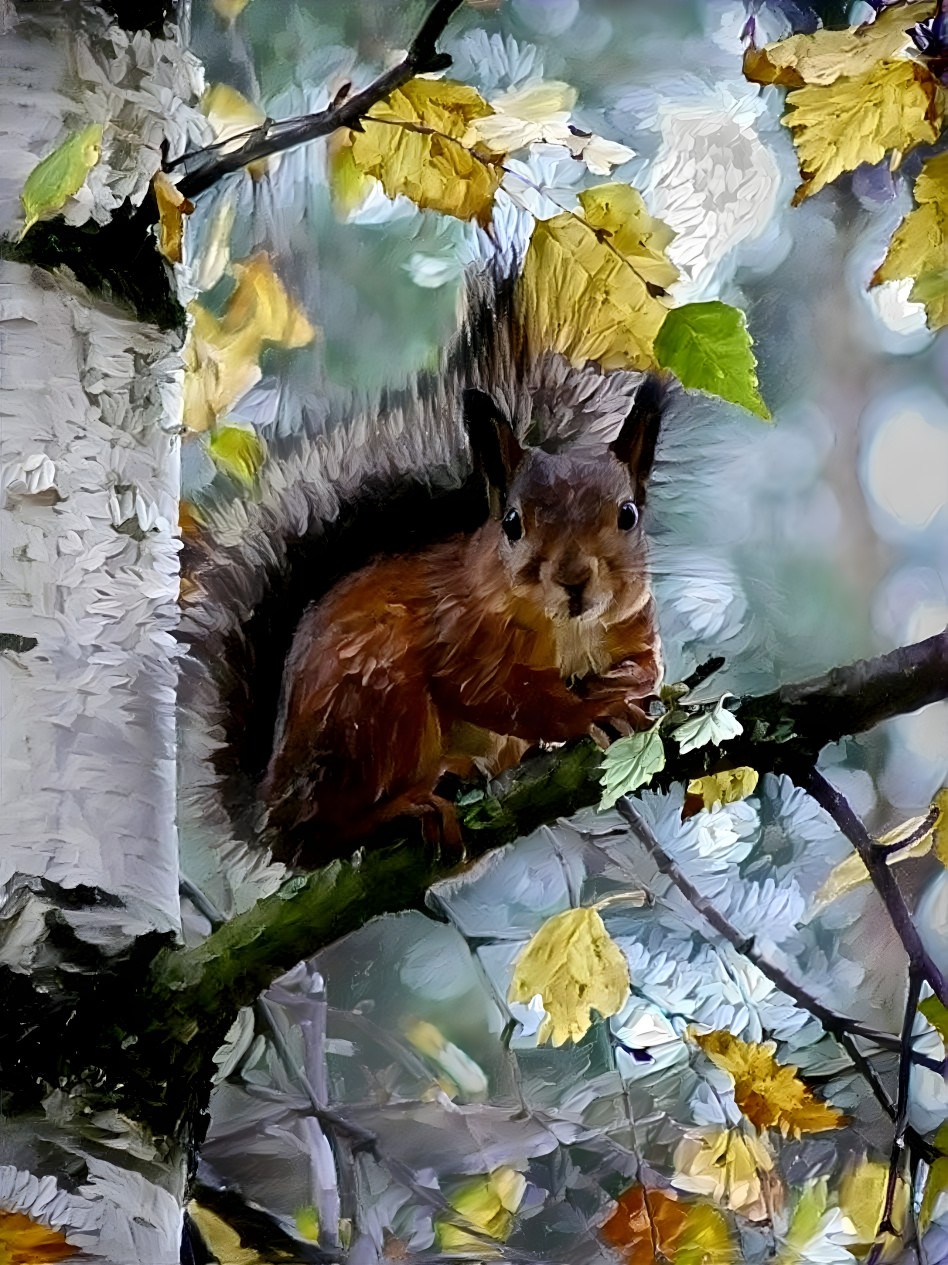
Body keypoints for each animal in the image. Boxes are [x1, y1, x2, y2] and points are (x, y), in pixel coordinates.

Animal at [179, 266, 663, 870]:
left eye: (628, 515)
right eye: (512, 522)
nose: (573, 581)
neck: (568, 628)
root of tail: (270, 806)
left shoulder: (633, 620)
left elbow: (651, 667)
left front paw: (622, 687)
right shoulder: (458, 631)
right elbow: (496, 694)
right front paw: (586, 714)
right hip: (372, 702)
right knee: (318, 838)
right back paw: (401, 809)